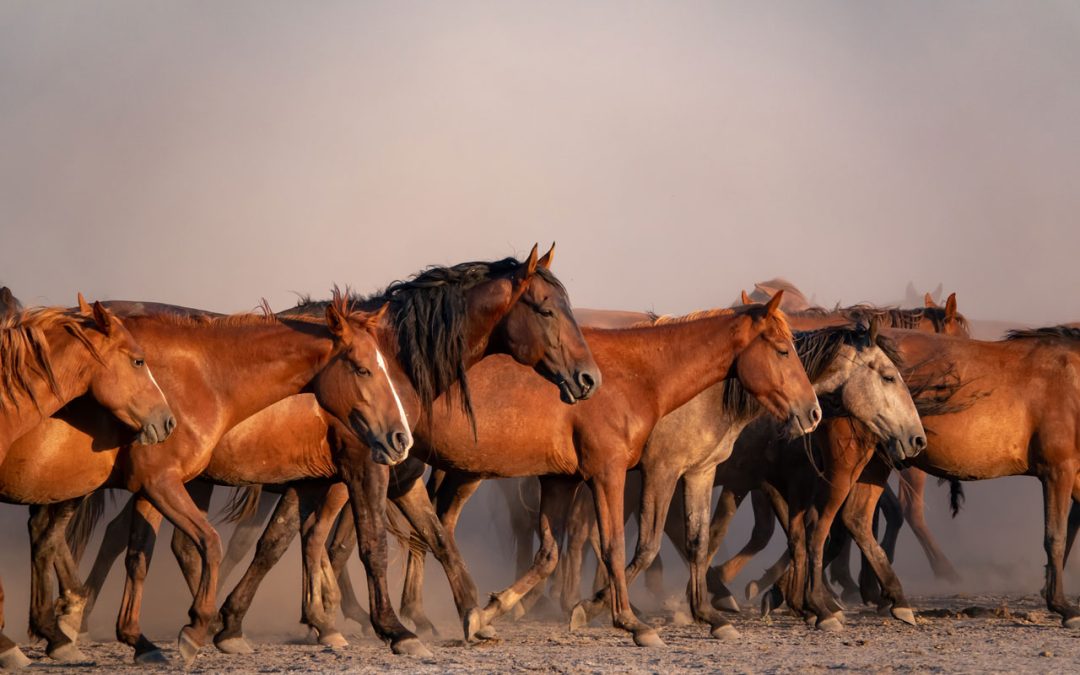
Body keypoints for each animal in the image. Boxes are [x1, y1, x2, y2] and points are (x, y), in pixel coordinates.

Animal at [1, 291, 410, 666]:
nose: (400, 437)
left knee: (46, 538)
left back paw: (57, 629)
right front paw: (197, 629)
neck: (204, 379)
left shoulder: (152, 487)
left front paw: (142, 640)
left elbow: (141, 556)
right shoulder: (162, 483)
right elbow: (213, 542)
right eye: (362, 369)